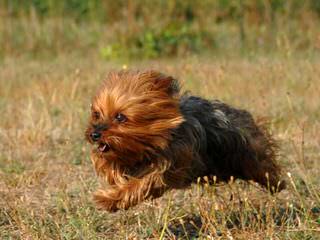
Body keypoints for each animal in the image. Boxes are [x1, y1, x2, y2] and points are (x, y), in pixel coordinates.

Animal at [85, 70, 284, 212]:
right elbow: (111, 165)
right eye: (96, 114)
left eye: (120, 117)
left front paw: (107, 199)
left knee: (263, 165)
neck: (147, 145)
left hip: (247, 151)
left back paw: (277, 184)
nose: (94, 134)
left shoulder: (172, 162)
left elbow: (142, 183)